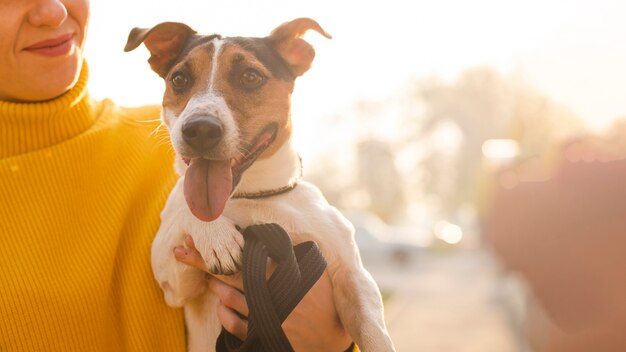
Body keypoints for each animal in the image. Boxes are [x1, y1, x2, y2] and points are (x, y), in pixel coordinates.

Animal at [124, 17, 392, 350]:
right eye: (179, 79)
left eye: (250, 76)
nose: (200, 129)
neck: (253, 196)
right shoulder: (172, 280)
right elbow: (187, 209)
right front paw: (216, 236)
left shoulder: (353, 277)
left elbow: (374, 333)